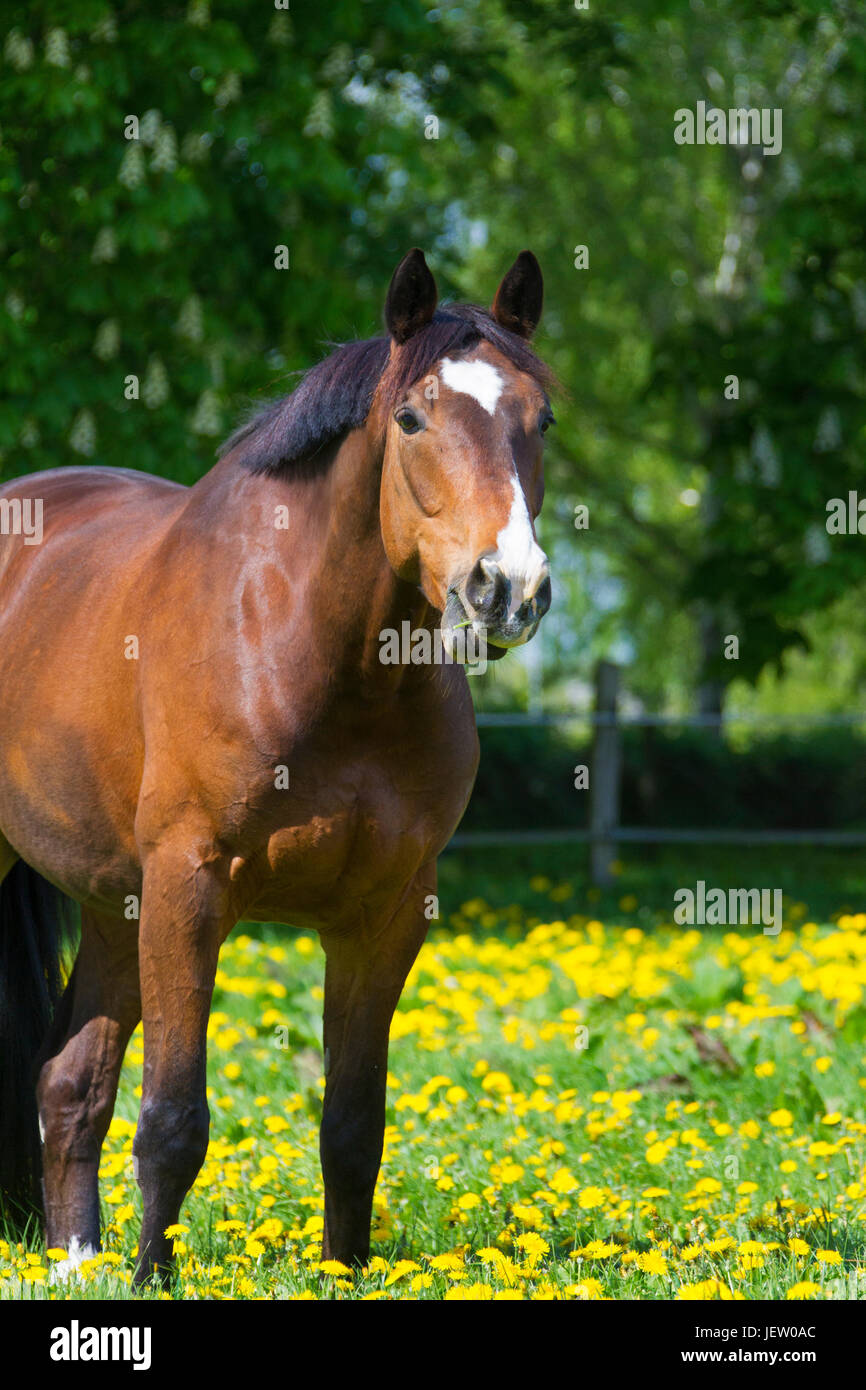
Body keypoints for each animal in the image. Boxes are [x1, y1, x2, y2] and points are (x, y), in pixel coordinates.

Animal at [0, 248, 556, 1284]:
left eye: (540, 421)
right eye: (412, 418)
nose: (508, 588)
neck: (325, 663)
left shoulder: (383, 918)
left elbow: (354, 1124)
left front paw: (345, 1273)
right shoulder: (190, 890)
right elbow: (173, 1121)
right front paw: (154, 1280)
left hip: (112, 903)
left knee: (67, 1084)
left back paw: (73, 1263)